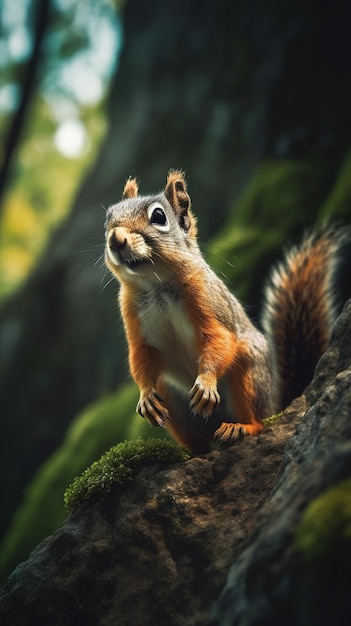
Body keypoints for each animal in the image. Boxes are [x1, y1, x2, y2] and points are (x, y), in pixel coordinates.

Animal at [104, 169, 350, 454]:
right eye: (108, 219)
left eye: (158, 216)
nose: (115, 239)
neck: (157, 286)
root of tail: (275, 405)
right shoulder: (133, 316)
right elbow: (141, 357)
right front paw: (145, 396)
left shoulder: (208, 302)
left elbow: (220, 340)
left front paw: (207, 383)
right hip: (171, 394)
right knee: (198, 439)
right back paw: (191, 452)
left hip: (249, 374)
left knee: (258, 422)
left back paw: (240, 427)